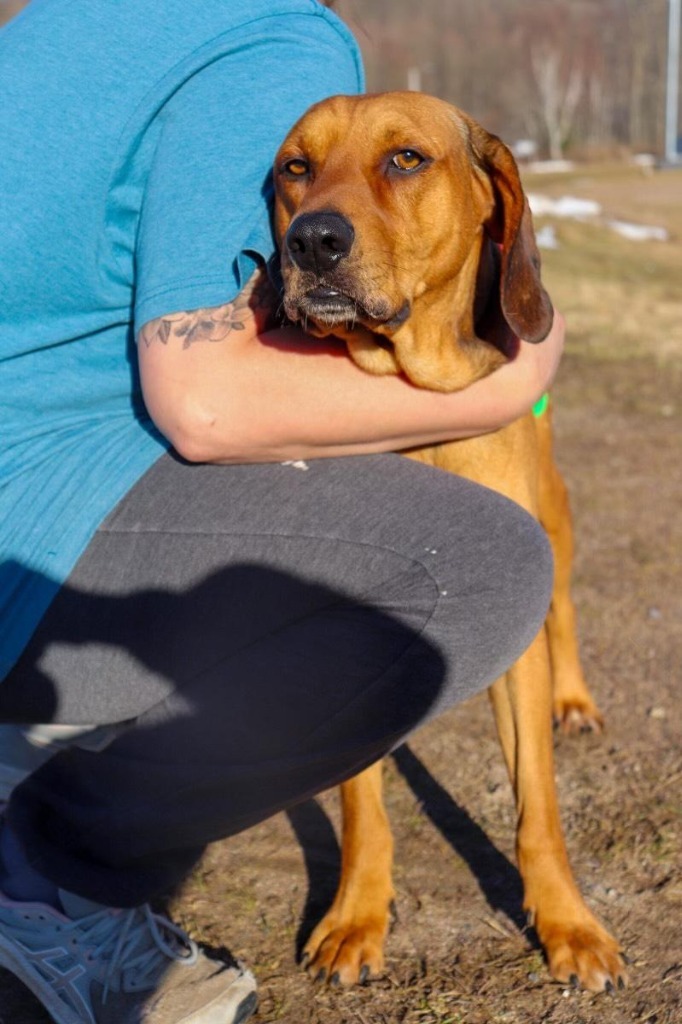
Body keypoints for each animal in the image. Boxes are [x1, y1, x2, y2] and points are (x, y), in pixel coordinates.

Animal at [270, 94, 622, 991]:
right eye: (296, 168)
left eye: (406, 159)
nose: (312, 242)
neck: (412, 411)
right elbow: (361, 803)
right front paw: (356, 915)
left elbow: (538, 805)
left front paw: (568, 925)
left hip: (556, 526)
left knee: (567, 613)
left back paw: (575, 701)